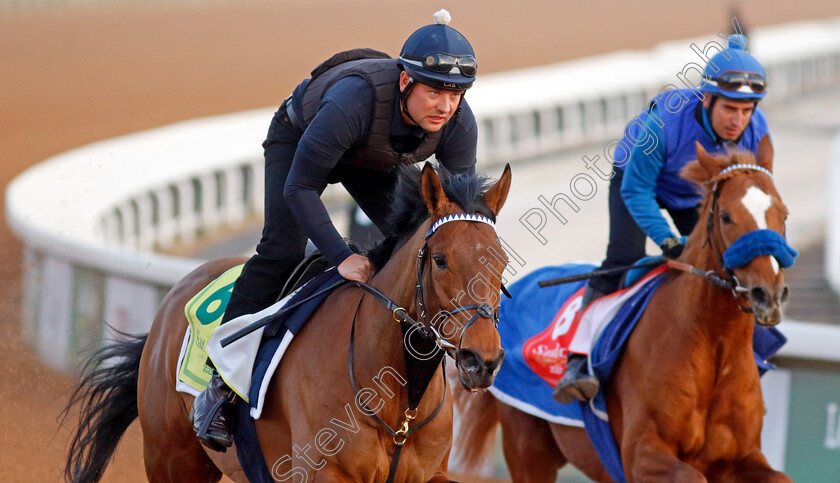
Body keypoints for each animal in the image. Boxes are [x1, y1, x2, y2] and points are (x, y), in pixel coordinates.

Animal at [64, 164, 512, 483]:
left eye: (502, 260)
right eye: (440, 260)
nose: (481, 360)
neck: (399, 400)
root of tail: (178, 292)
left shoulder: (429, 474)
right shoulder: (326, 472)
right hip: (172, 458)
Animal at [452, 137, 796, 483]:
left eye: (783, 215)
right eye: (725, 216)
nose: (767, 294)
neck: (713, 344)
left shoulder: (743, 456)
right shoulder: (640, 455)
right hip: (529, 448)